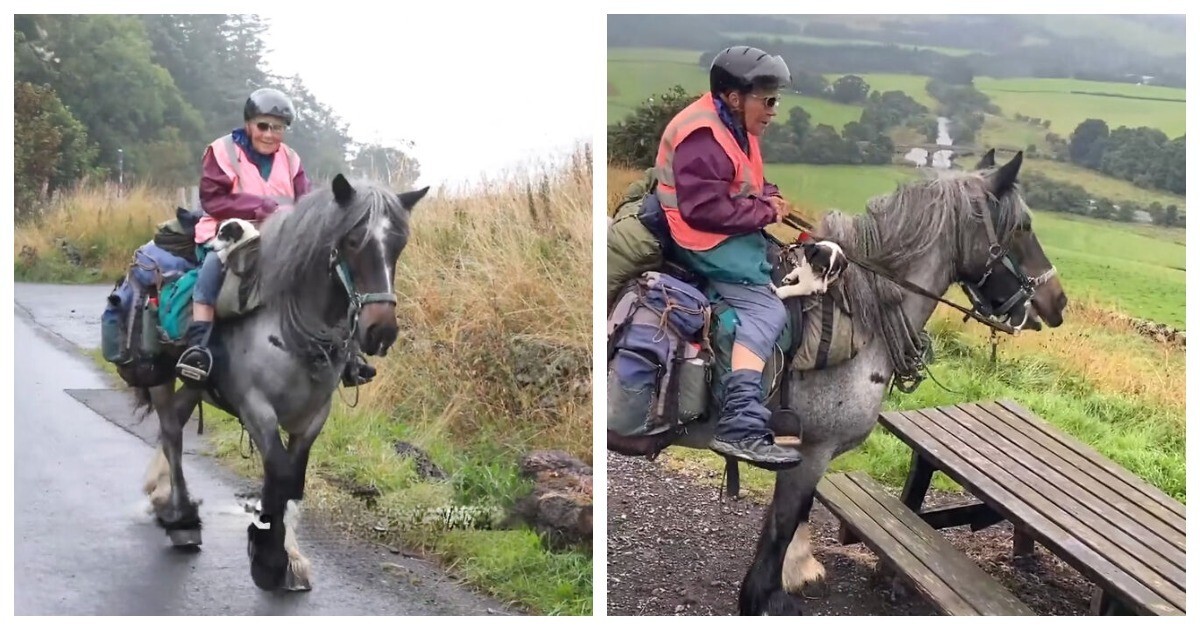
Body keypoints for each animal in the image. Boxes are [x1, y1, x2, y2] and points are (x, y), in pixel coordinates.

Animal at [115, 174, 432, 592]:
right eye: (352, 241)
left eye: (398, 244)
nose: (381, 331)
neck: (290, 331)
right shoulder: (257, 409)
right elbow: (278, 475)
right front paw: (269, 557)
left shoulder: (313, 416)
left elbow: (293, 480)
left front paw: (288, 558)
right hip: (162, 378)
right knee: (171, 432)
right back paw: (182, 519)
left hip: (195, 386)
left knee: (175, 427)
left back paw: (163, 498)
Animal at [628, 150, 1070, 612]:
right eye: (1023, 227)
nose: (1058, 301)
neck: (859, 313)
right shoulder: (810, 452)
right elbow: (779, 531)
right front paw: (768, 594)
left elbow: (792, 522)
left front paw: (797, 570)